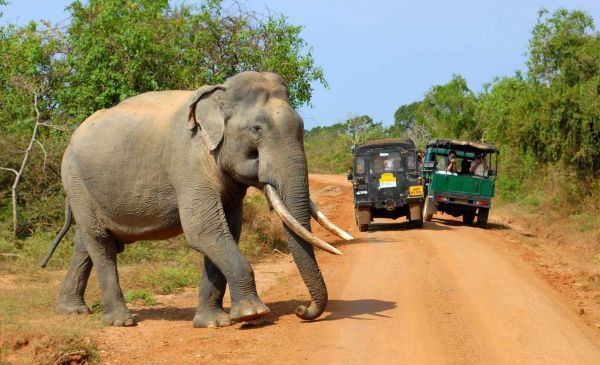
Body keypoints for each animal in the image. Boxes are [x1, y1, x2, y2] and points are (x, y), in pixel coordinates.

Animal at [42, 71, 354, 328]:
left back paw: (72, 311)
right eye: (257, 130)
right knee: (101, 243)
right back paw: (121, 322)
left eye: (301, 128)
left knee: (86, 242)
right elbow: (203, 231)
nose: (302, 310)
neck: (218, 95)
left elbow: (228, 230)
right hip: (75, 180)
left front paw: (213, 323)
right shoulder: (188, 162)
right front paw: (253, 315)